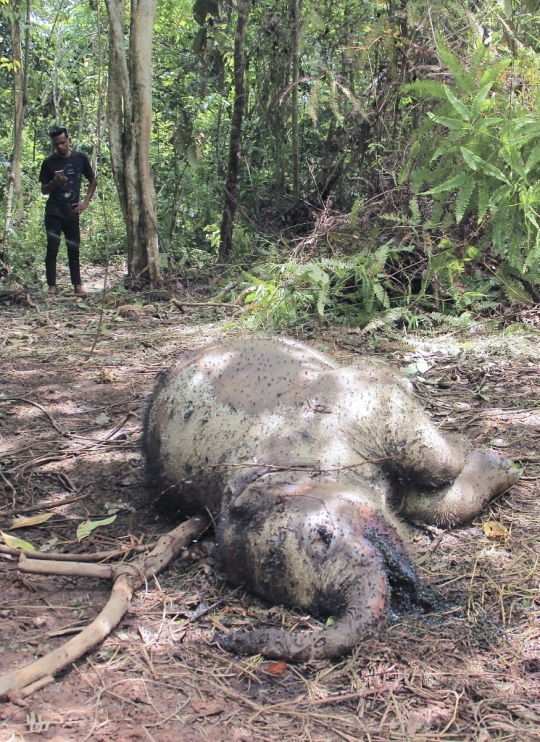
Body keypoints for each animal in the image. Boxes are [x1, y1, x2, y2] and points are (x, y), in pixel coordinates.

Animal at [144, 338, 520, 664]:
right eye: (312, 607)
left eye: (323, 535)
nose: (225, 640)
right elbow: (428, 502)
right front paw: (499, 466)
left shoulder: (367, 401)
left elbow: (436, 464)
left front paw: (488, 457)